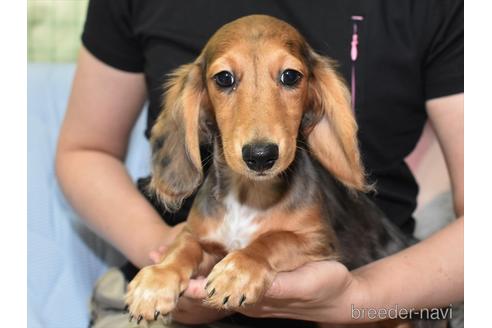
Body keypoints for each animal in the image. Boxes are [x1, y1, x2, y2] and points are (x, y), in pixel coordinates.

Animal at [125, 15, 440, 328]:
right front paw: (156, 280)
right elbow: (183, 246)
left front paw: (239, 270)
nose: (260, 156)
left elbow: (275, 239)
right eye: (224, 78)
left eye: (290, 76)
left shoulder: (320, 243)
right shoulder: (203, 238)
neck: (249, 196)